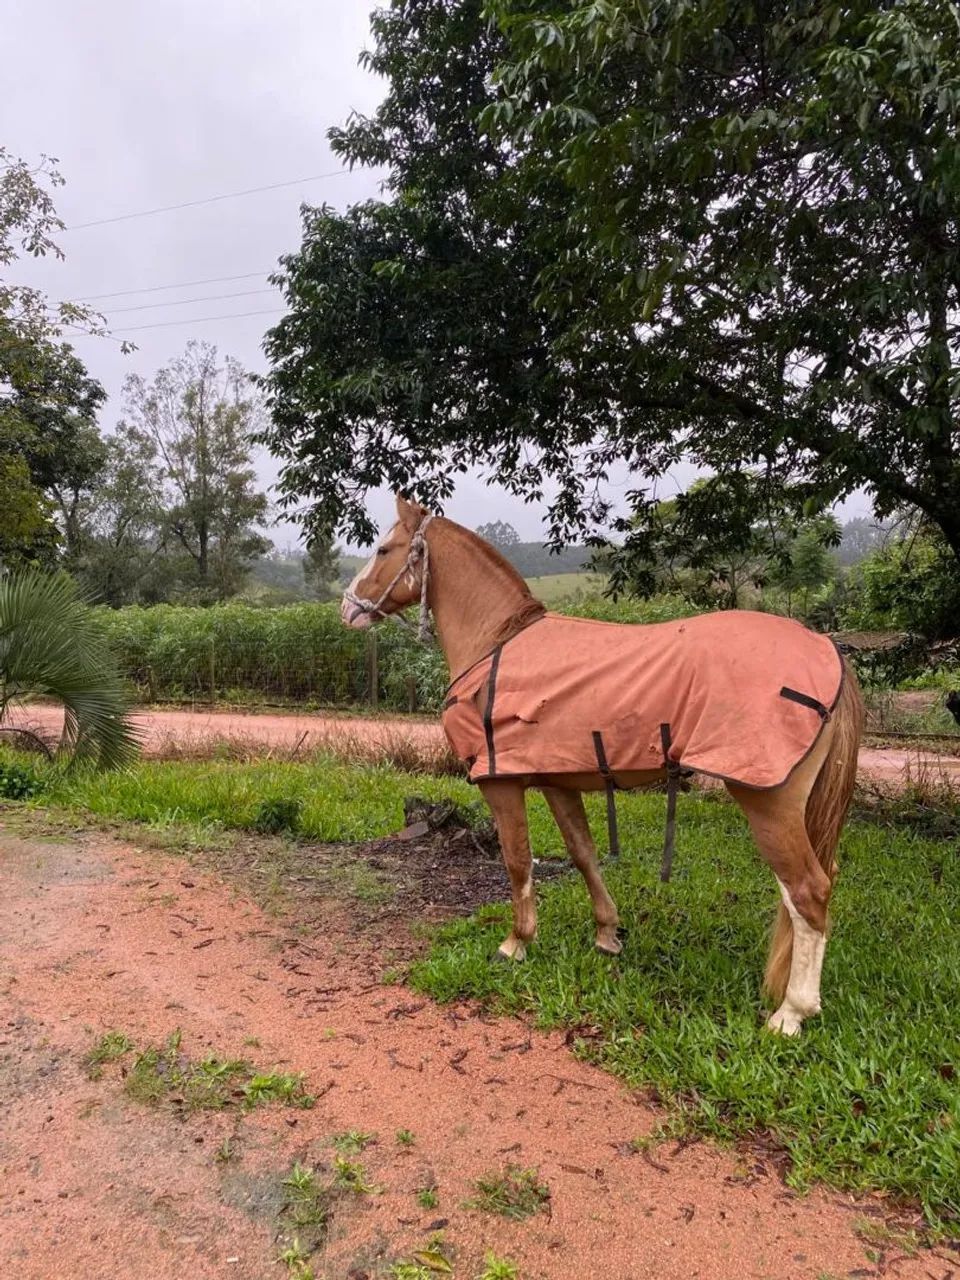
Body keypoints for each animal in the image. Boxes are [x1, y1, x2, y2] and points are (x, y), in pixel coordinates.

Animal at [341, 496, 864, 1035]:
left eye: (383, 550)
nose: (347, 606)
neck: (496, 644)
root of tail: (829, 652)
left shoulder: (501, 784)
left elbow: (517, 860)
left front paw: (516, 943)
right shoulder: (558, 782)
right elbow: (584, 853)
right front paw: (607, 934)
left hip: (768, 802)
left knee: (808, 892)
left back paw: (792, 1013)